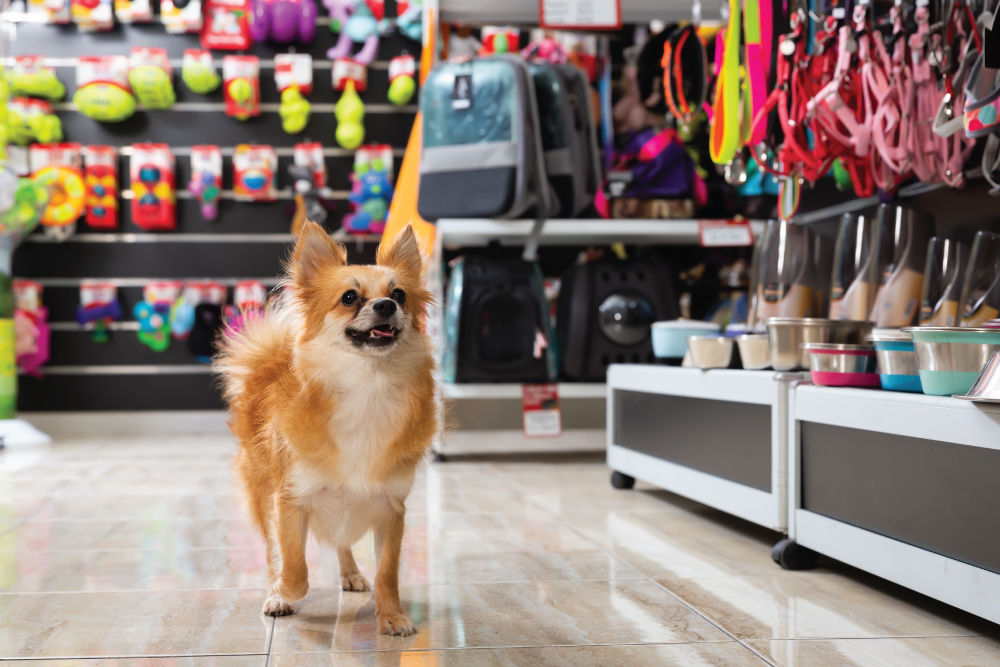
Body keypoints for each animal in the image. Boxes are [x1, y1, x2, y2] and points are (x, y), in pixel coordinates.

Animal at [217, 220, 436, 636]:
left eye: (399, 294)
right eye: (349, 297)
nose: (386, 305)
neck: (368, 387)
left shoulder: (391, 508)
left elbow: (387, 573)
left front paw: (393, 615)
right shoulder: (289, 501)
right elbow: (293, 566)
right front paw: (282, 592)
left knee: (342, 542)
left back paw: (350, 574)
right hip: (263, 494)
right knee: (273, 551)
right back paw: (276, 590)